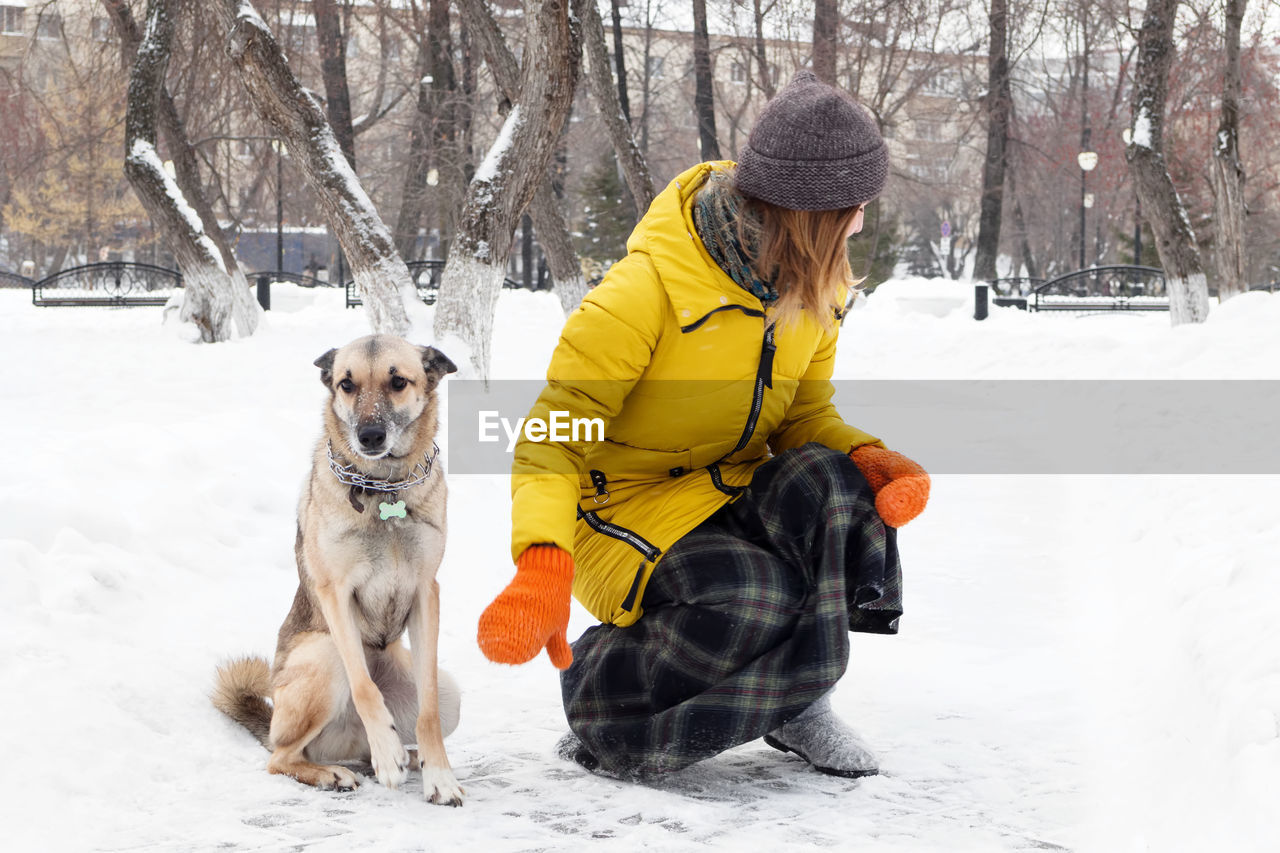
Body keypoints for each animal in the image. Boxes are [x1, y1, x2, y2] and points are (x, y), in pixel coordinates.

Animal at [215, 333, 465, 804]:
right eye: (347, 385)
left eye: (398, 382)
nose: (369, 435)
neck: (384, 488)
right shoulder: (336, 593)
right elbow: (365, 688)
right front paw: (387, 751)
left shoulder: (426, 592)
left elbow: (428, 712)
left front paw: (438, 775)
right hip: (324, 653)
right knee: (281, 757)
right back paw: (339, 770)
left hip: (451, 692)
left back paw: (400, 757)